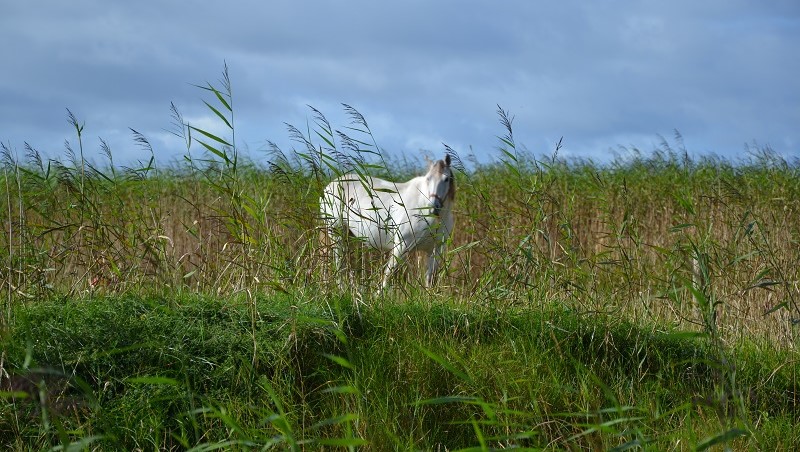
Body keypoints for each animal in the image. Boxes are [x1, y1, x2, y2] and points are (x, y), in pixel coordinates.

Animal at [320, 154, 456, 290]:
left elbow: (429, 279)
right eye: (428, 179)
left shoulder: (436, 250)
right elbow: (388, 275)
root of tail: (329, 186)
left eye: (446, 179)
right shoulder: (402, 245)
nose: (434, 208)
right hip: (336, 232)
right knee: (339, 262)